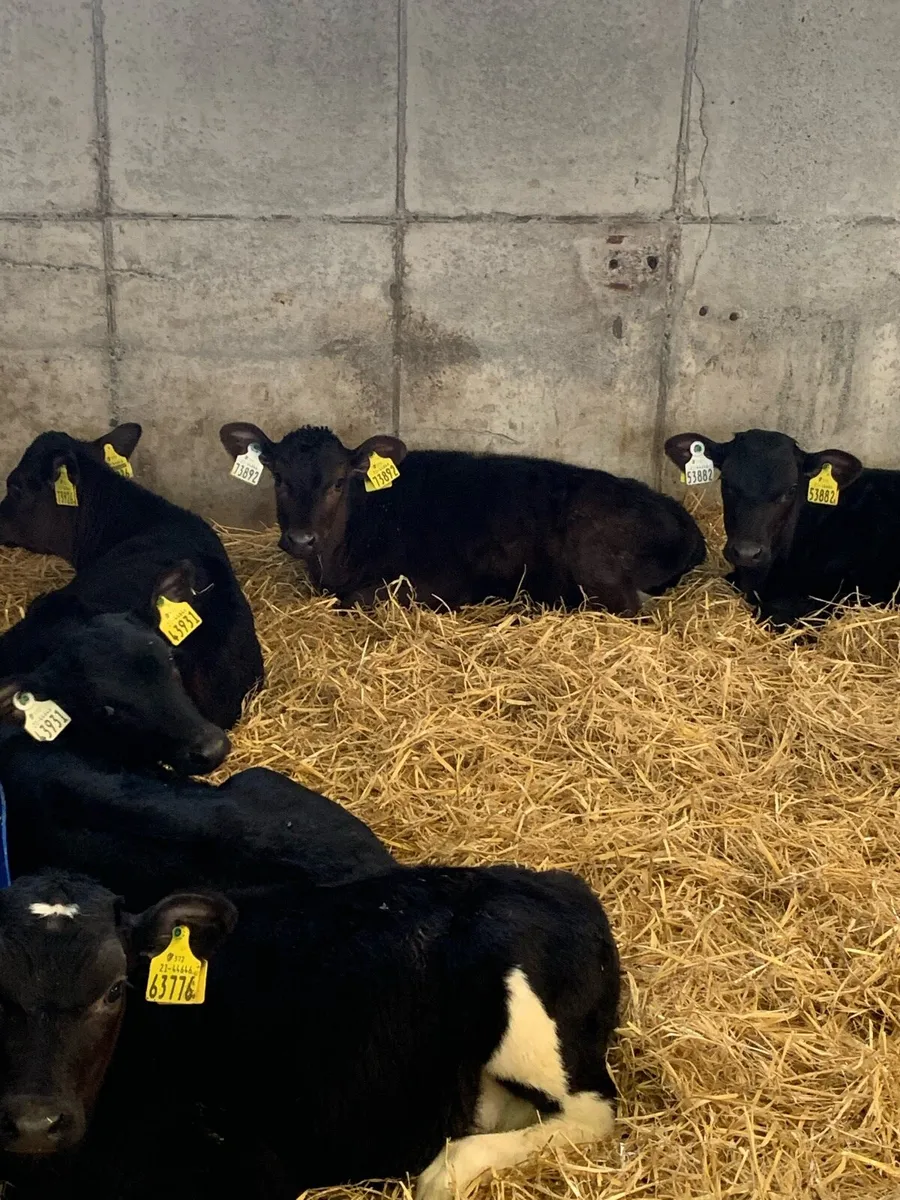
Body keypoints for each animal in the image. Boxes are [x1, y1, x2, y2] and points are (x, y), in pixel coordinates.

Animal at [0, 860, 620, 1199]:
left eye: (115, 989)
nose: (35, 1123)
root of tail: (562, 884)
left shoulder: (252, 1169)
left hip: (525, 1016)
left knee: (592, 1112)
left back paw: (445, 1174)